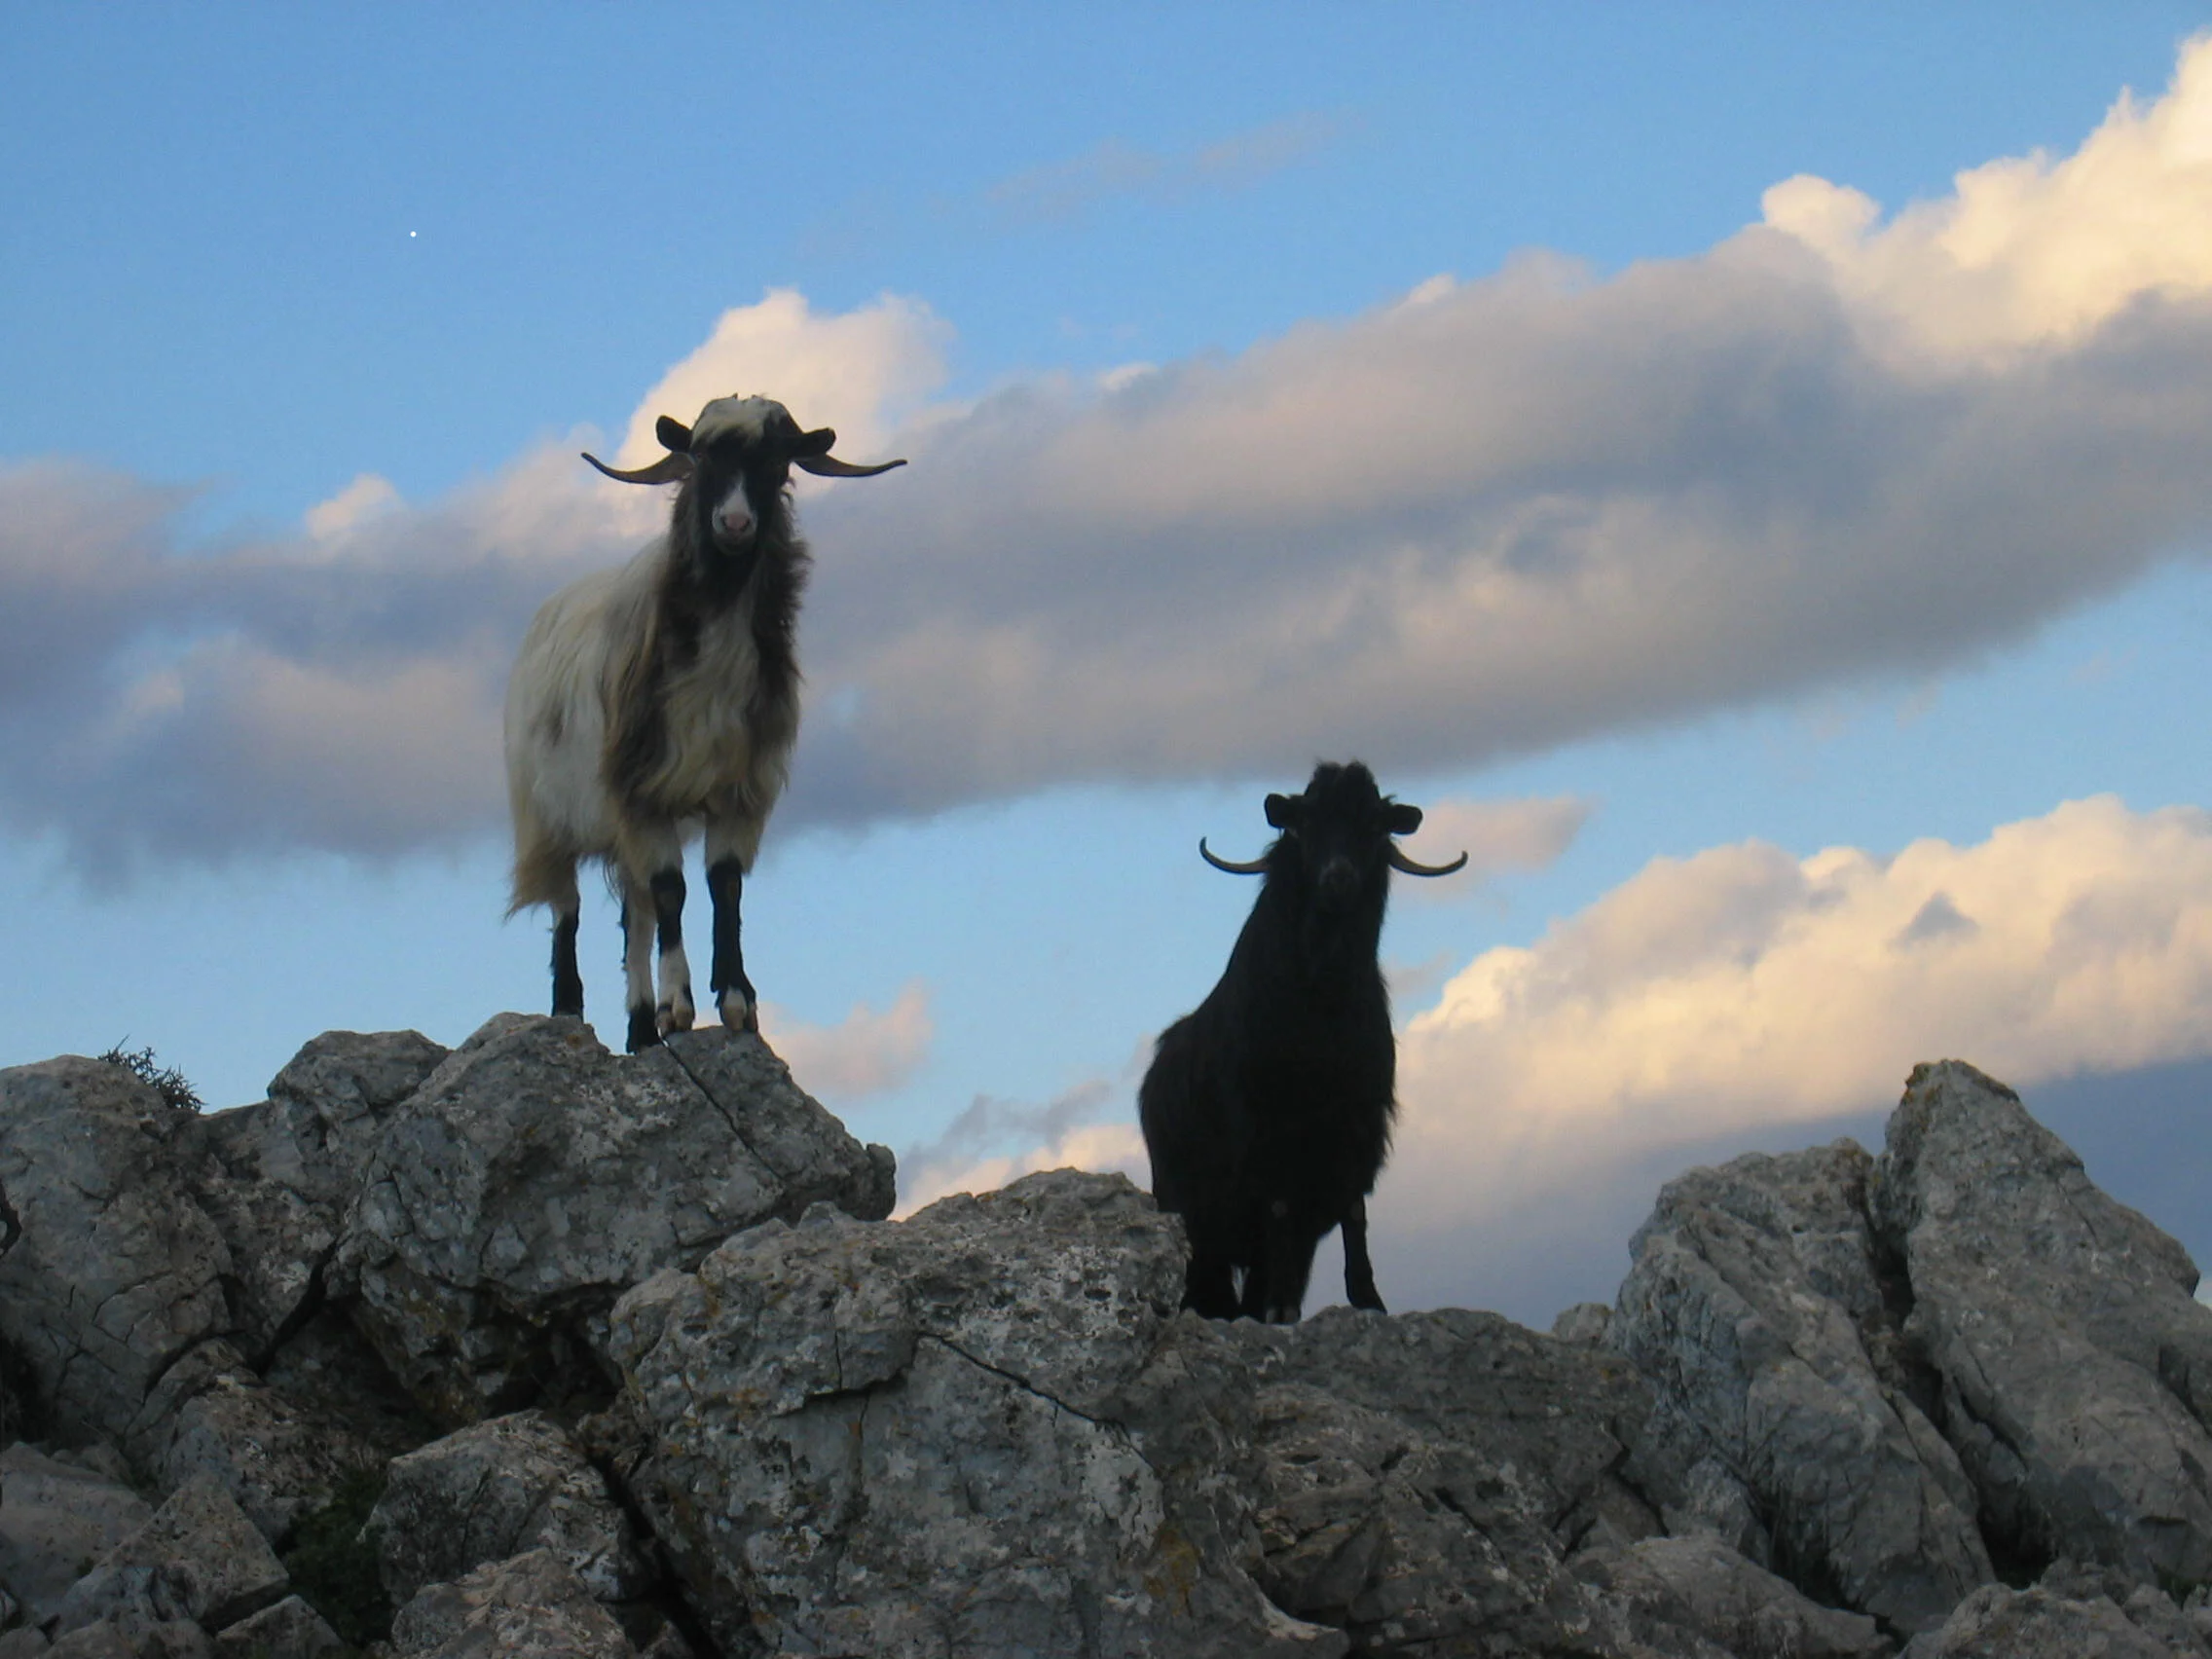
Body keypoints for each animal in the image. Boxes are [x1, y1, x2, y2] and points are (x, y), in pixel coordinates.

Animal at [504, 395, 903, 1053]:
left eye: (777, 462)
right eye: (700, 457)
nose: (735, 524)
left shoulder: (737, 788)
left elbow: (723, 885)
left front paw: (736, 1000)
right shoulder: (642, 789)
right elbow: (674, 888)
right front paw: (683, 1005)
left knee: (635, 917)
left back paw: (642, 1029)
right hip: (547, 820)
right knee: (569, 911)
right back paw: (569, 1014)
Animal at [1138, 761, 1466, 1322]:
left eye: (1374, 826)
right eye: (1306, 823)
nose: (1338, 878)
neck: (1320, 1012)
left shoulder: (1357, 1124)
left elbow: (1354, 1212)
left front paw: (1368, 1299)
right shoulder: (1266, 1128)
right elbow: (1278, 1206)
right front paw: (1279, 1309)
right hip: (1191, 1215)